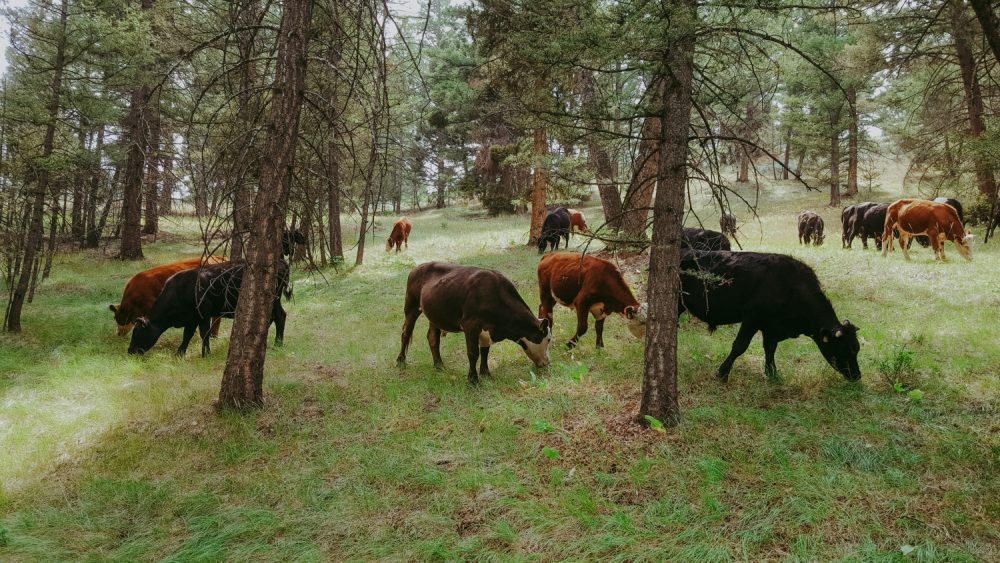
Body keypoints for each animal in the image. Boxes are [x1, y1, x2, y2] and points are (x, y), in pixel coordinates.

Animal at [129, 260, 290, 356]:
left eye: (137, 333)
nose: (130, 351)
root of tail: (281, 262)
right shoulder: (191, 318)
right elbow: (187, 335)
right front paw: (180, 353)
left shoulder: (203, 313)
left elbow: (204, 333)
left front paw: (205, 353)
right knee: (271, 319)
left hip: (274, 300)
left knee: (280, 316)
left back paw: (278, 343)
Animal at [396, 262, 552, 386]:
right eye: (549, 339)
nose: (547, 362)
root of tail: (418, 267)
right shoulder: (470, 325)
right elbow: (473, 353)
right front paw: (473, 380)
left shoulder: (486, 330)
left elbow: (485, 351)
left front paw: (486, 373)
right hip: (411, 305)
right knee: (405, 333)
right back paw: (400, 361)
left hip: (434, 315)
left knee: (433, 338)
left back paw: (439, 365)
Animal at [684, 251, 864, 384]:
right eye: (845, 349)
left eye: (856, 349)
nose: (857, 376)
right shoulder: (752, 318)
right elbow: (739, 346)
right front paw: (722, 374)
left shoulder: (771, 326)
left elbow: (770, 348)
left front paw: (772, 373)